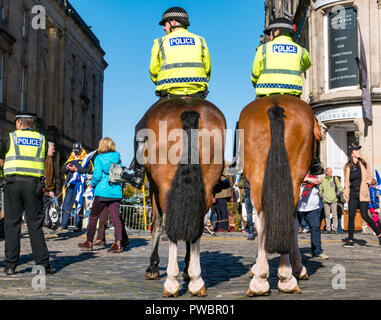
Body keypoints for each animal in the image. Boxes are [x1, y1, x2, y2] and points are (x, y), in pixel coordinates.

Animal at [135, 97, 226, 298]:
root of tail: (188, 110)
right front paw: (187, 271)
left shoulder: (154, 188)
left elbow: (157, 225)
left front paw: (153, 267)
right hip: (206, 189)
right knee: (195, 229)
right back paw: (196, 281)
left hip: (164, 188)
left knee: (170, 227)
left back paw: (171, 282)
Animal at [238, 95, 320, 296]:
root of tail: (275, 104)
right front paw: (298, 267)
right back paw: (285, 277)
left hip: (259, 180)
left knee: (263, 222)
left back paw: (262, 279)